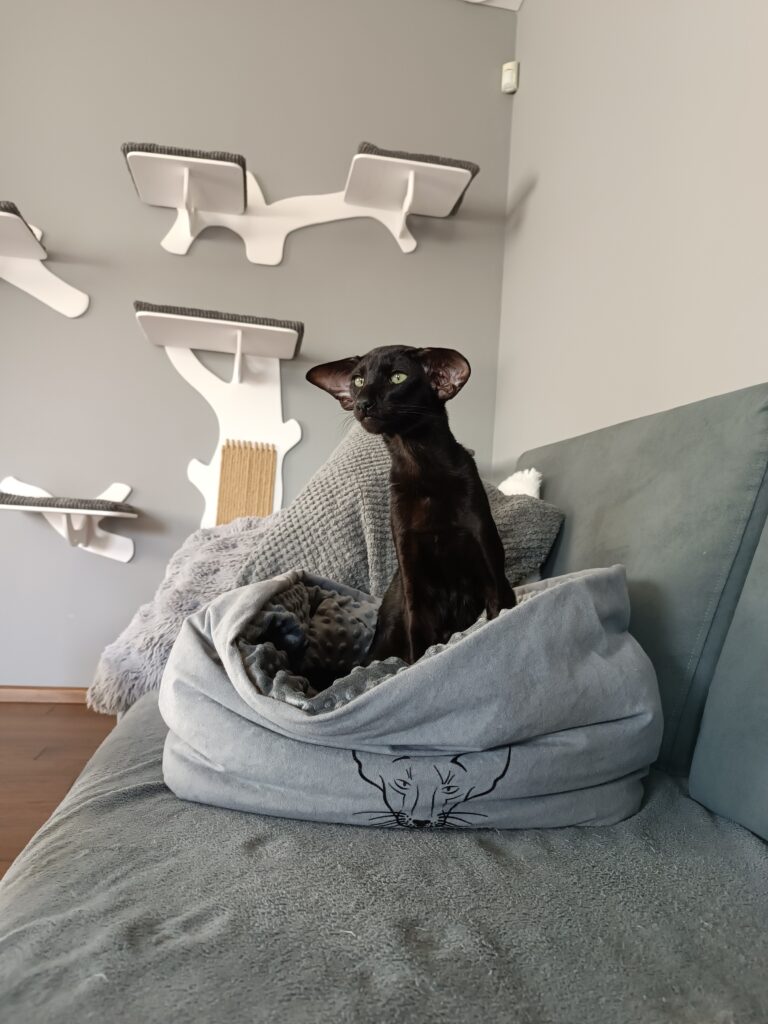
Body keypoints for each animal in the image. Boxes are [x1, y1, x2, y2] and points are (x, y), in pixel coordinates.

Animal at [306, 345, 515, 664]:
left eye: (398, 377)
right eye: (358, 381)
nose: (363, 403)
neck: (419, 465)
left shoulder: (493, 577)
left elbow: (494, 621)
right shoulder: (414, 586)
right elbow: (419, 653)